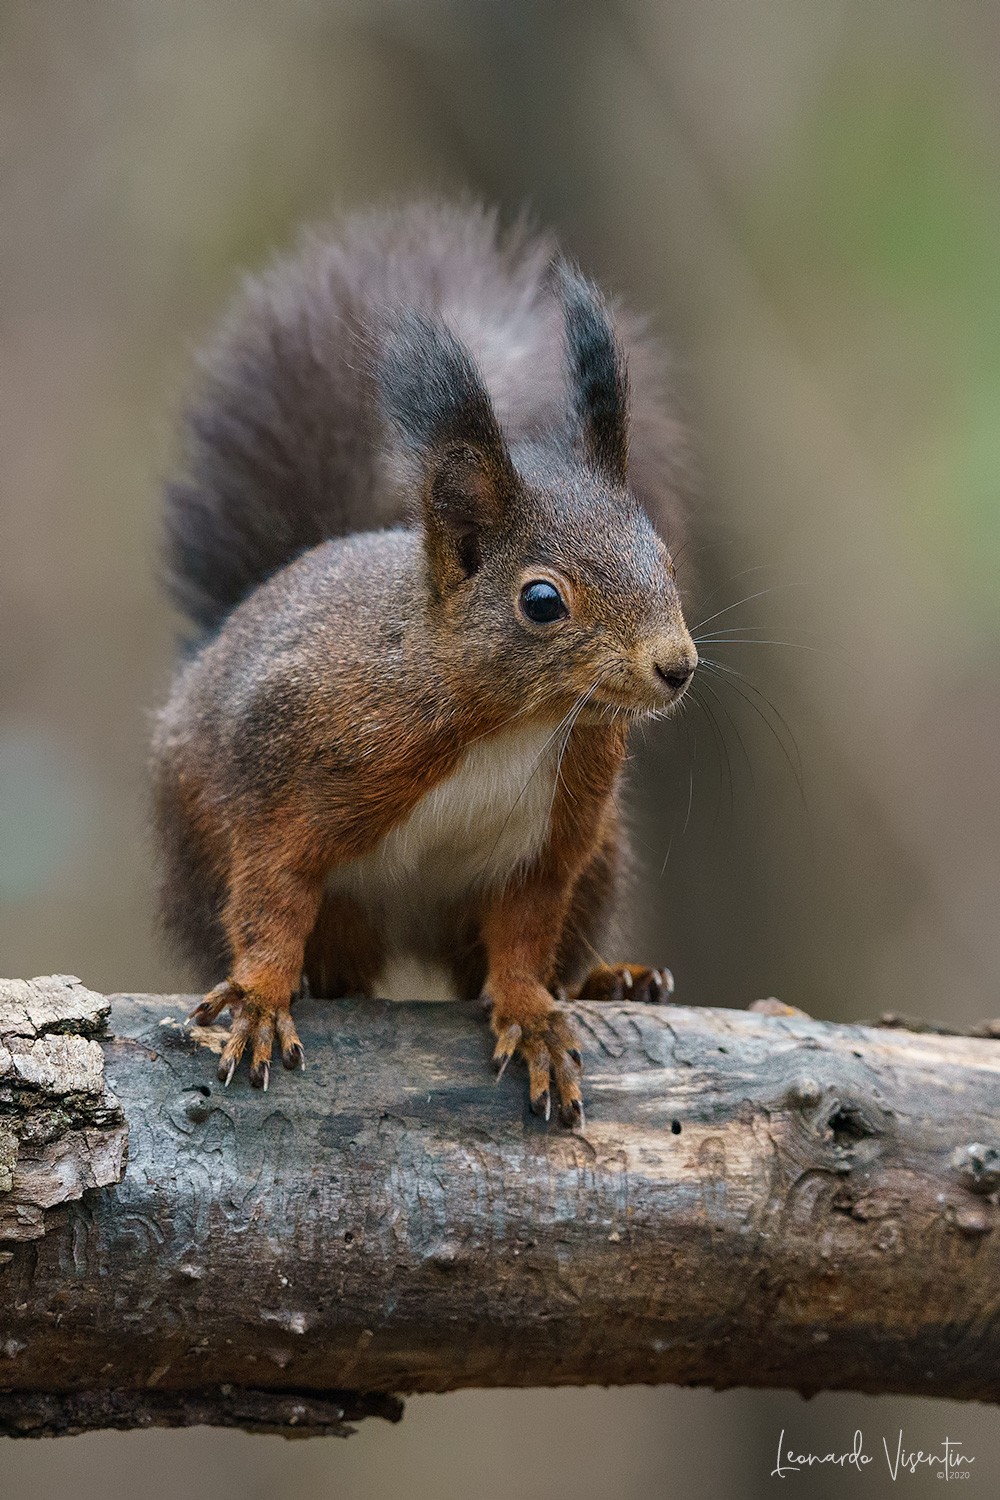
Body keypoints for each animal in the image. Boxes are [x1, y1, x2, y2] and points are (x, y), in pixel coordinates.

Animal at [152, 200, 697, 1126]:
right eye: (542, 601)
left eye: (661, 558)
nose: (678, 666)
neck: (514, 720)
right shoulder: (291, 757)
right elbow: (270, 891)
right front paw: (260, 996)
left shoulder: (555, 840)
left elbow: (522, 940)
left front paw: (533, 1017)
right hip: (203, 846)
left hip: (601, 858)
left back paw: (610, 979)